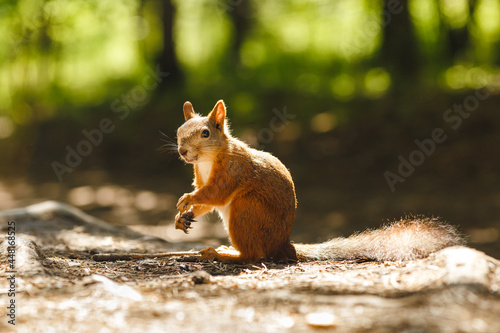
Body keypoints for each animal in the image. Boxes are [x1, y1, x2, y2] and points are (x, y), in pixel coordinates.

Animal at [173, 99, 464, 262]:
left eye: (205, 133)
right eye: (179, 131)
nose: (183, 152)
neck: (207, 160)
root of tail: (283, 244)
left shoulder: (232, 172)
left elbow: (215, 194)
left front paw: (187, 199)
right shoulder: (200, 176)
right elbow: (206, 201)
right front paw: (183, 216)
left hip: (246, 211)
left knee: (252, 255)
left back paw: (222, 254)